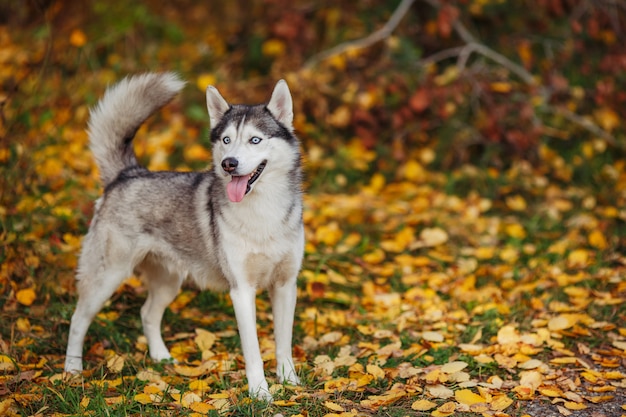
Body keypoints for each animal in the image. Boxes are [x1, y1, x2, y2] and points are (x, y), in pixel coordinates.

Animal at [64, 73, 304, 398]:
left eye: (255, 139)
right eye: (226, 140)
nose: (228, 163)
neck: (262, 214)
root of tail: (128, 173)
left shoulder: (285, 285)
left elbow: (284, 342)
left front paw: (289, 381)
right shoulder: (242, 291)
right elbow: (253, 350)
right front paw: (260, 393)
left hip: (168, 283)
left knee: (147, 313)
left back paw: (161, 357)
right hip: (107, 277)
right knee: (78, 319)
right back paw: (72, 370)